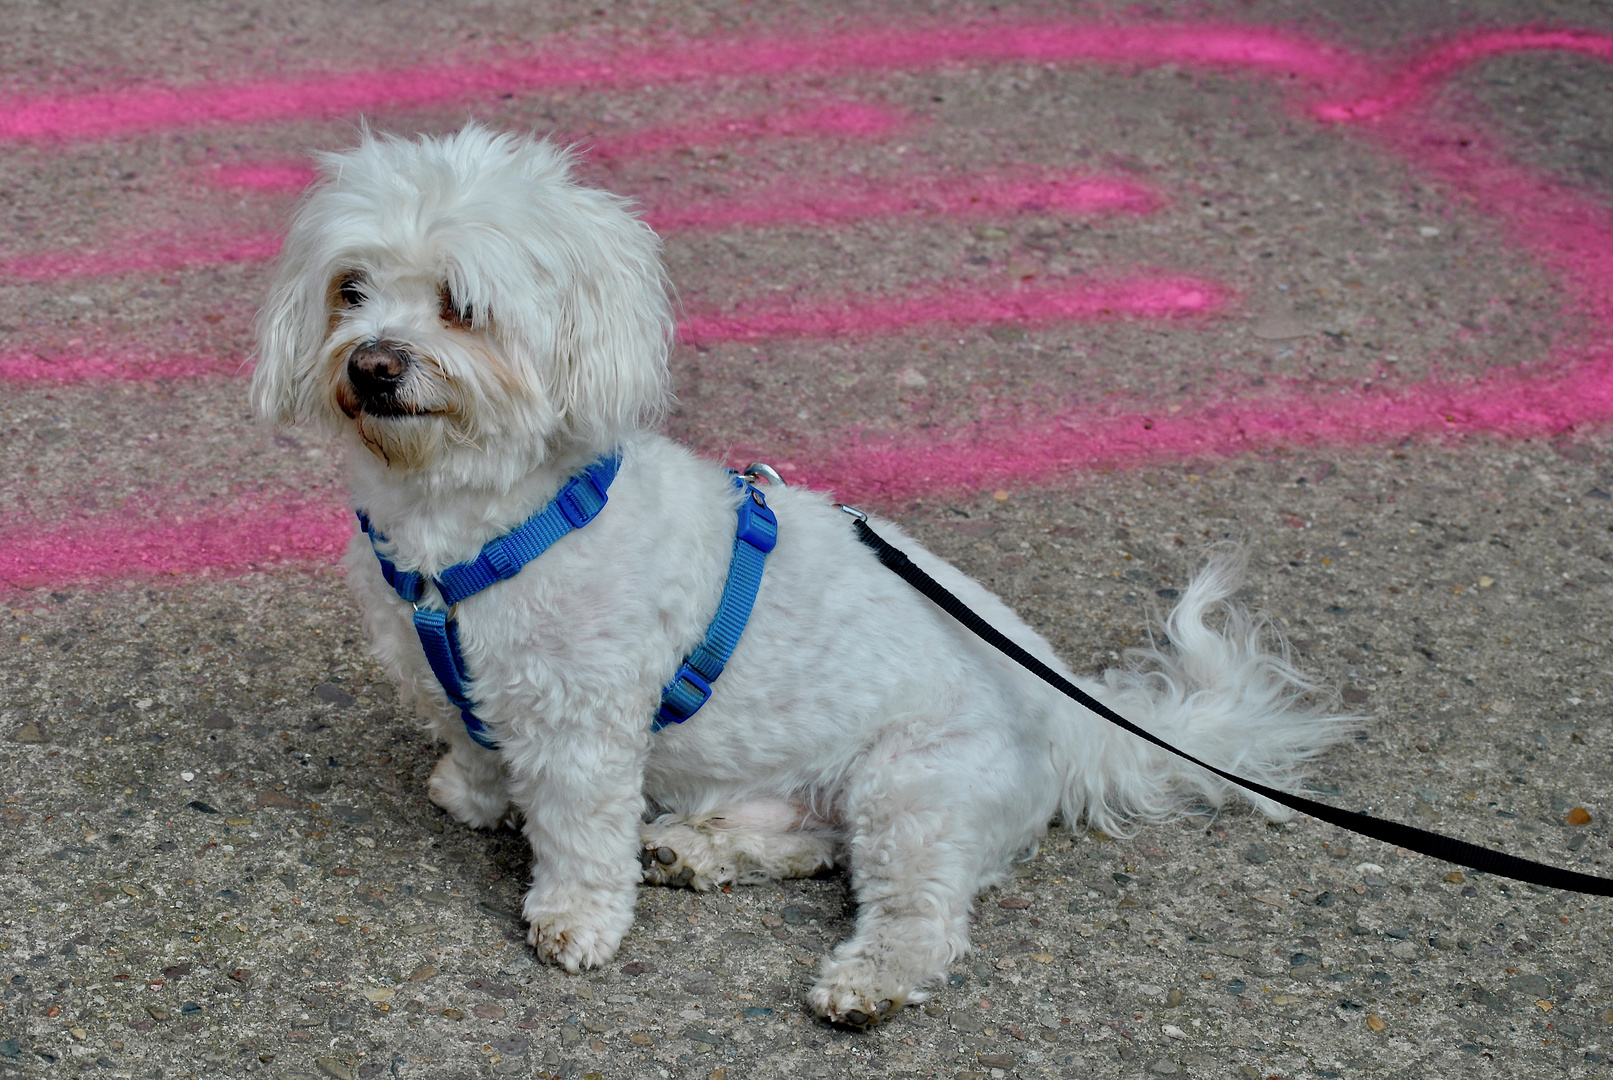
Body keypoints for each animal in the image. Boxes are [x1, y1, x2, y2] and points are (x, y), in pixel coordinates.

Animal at [251, 122, 1348, 1025]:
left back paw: (864, 981)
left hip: (914, 790)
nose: (372, 364)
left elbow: (578, 834)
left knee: (918, 915)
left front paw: (574, 918)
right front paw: (474, 792)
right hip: (829, 792)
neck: (472, 520)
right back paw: (695, 848)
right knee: (817, 843)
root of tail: (1071, 716)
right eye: (351, 288)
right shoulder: (455, 676)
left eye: (461, 305)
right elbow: (472, 739)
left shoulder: (583, 725)